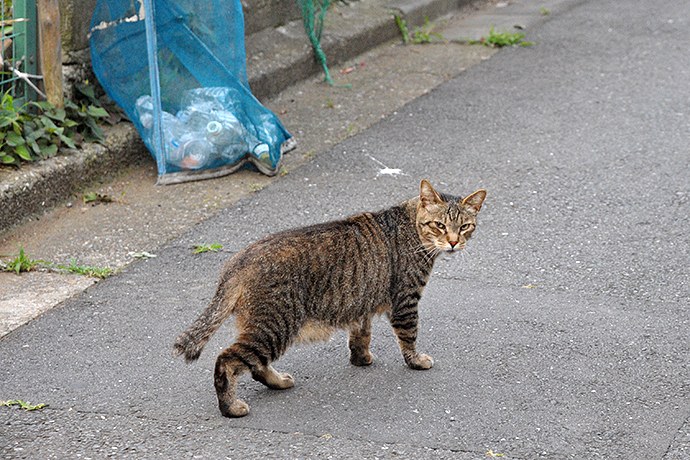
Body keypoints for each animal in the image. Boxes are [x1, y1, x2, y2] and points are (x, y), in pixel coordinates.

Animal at [172, 180, 484, 416]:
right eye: (440, 225)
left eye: (465, 226)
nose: (454, 242)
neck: (411, 227)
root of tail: (238, 260)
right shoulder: (405, 301)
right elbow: (409, 336)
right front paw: (416, 361)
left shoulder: (361, 301)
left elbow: (361, 334)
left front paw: (361, 358)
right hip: (275, 326)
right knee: (227, 361)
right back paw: (231, 407)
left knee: (256, 366)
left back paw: (278, 382)